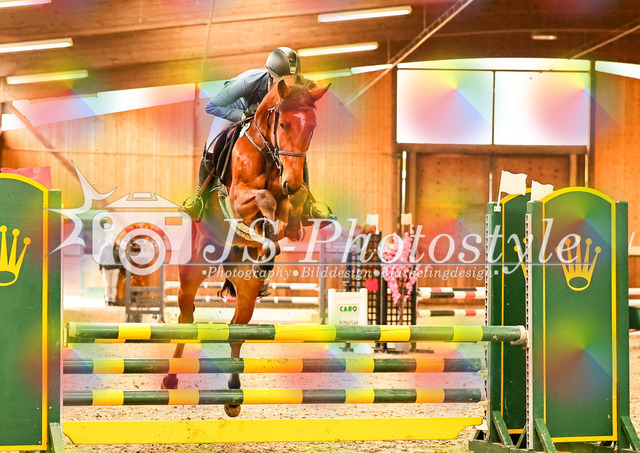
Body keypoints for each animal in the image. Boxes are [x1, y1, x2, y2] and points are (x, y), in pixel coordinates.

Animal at [162, 77, 330, 418]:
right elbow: (264, 199)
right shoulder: (238, 197)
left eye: (312, 127)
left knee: (236, 329)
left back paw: (233, 395)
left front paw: (275, 236)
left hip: (246, 286)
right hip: (191, 271)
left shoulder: (291, 197)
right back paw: (171, 378)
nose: (292, 181)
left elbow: (291, 208)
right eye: (285, 123)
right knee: (186, 316)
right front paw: (266, 231)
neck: (268, 153)